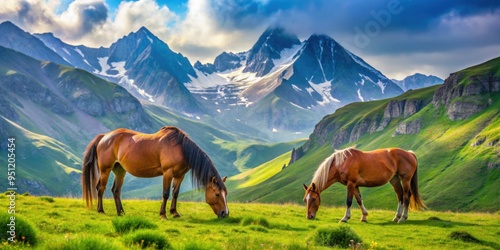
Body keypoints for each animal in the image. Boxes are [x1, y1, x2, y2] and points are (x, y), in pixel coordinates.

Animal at [82, 127, 230, 219]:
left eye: (226, 194)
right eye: (217, 194)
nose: (225, 213)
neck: (181, 148)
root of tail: (104, 137)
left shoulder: (179, 175)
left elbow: (175, 193)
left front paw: (174, 212)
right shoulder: (168, 173)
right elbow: (166, 194)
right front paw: (163, 214)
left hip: (119, 170)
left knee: (116, 191)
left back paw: (121, 212)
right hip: (105, 170)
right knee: (100, 188)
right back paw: (101, 210)